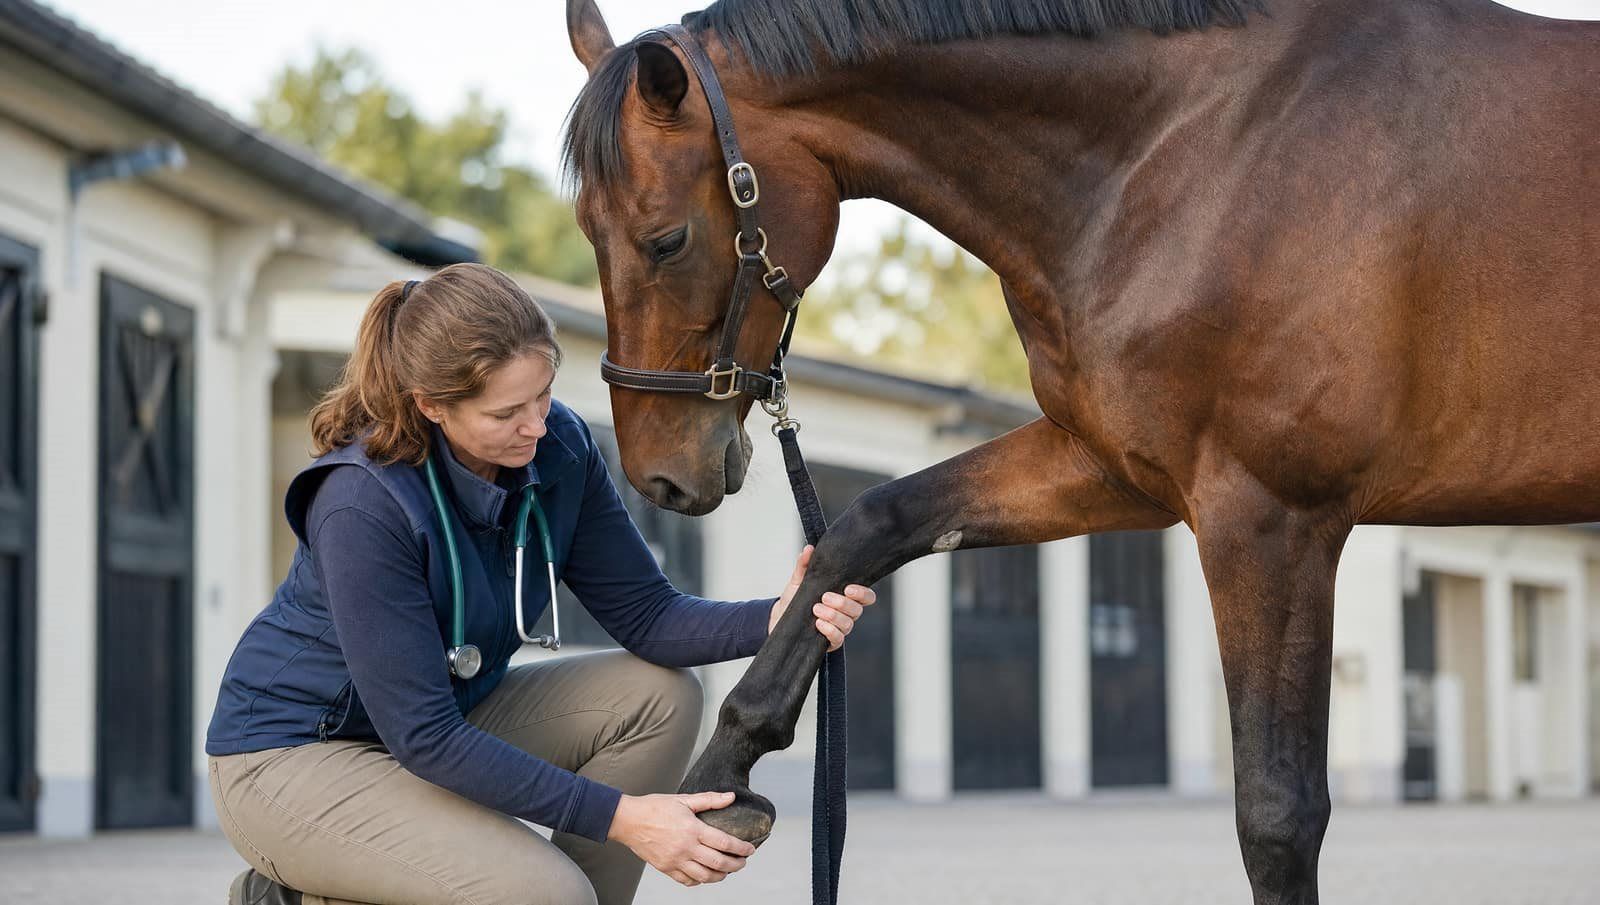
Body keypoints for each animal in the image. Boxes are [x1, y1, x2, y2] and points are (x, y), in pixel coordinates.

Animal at [560, 0, 1600, 901]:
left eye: (665, 239)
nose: (659, 473)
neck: (1202, 144)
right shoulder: (1121, 469)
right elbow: (873, 521)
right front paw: (722, 774)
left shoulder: (1270, 516)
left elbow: (1278, 816)